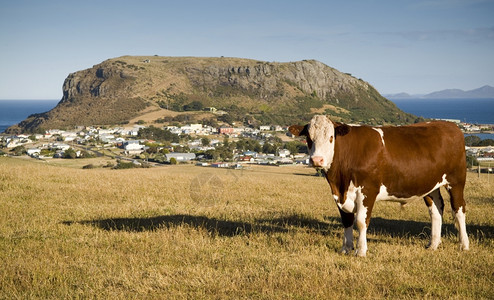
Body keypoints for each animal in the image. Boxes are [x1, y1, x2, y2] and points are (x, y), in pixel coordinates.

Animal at [290, 116, 470, 256]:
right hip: (430, 185)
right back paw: (433, 244)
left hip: (456, 180)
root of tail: (450, 125)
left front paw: (361, 251)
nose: (317, 160)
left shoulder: (368, 190)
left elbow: (361, 221)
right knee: (436, 210)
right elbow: (347, 221)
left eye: (331, 137)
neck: (340, 180)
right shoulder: (340, 194)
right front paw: (346, 249)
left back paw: (464, 244)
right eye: (309, 138)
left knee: (458, 209)